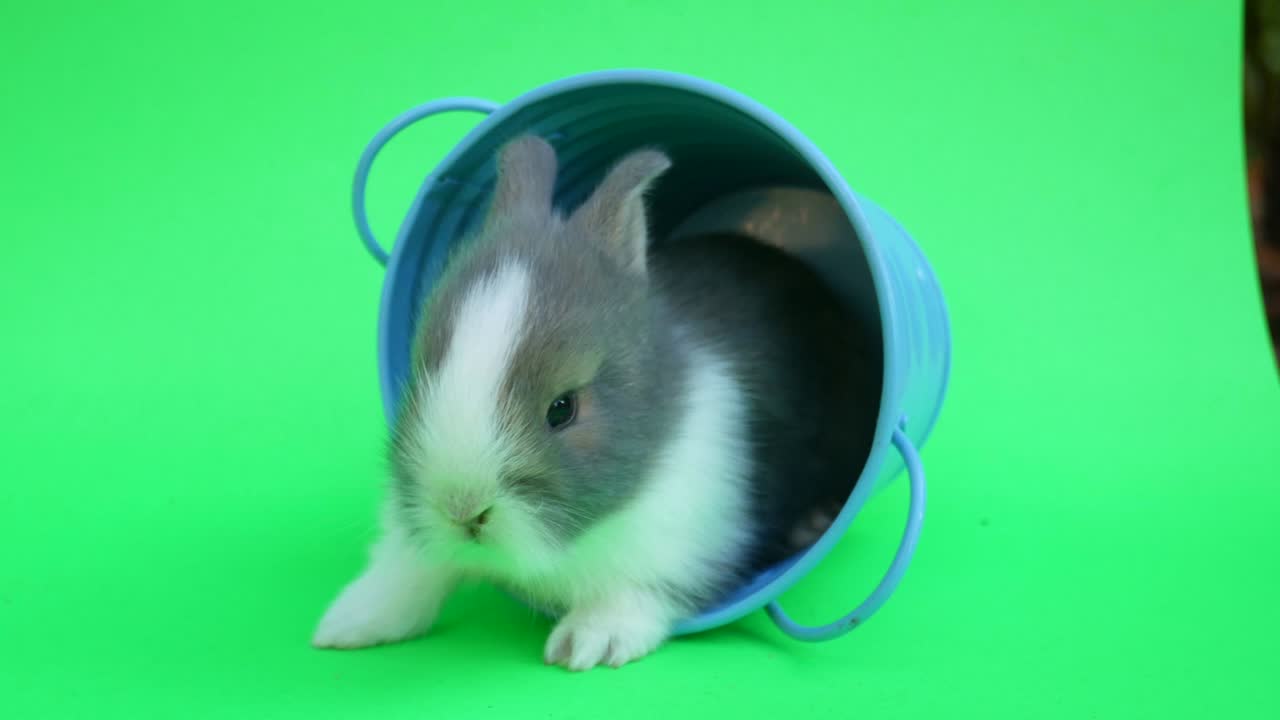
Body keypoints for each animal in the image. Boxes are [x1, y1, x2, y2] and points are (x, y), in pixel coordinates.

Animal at [312, 134, 877, 670]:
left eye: (562, 408)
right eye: (423, 374)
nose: (463, 511)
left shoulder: (682, 546)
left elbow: (630, 594)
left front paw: (588, 643)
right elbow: (410, 572)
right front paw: (347, 625)